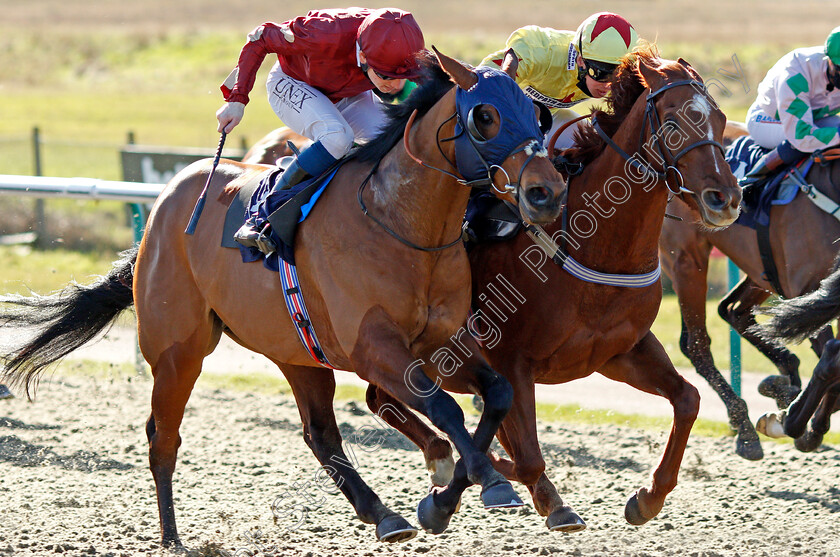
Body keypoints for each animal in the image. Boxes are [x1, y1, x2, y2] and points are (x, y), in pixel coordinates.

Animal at [1, 52, 564, 548]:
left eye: (534, 109)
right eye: (485, 116)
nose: (546, 192)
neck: (400, 223)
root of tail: (166, 201)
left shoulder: (442, 341)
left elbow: (497, 394)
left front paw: (448, 498)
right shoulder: (375, 348)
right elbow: (445, 407)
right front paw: (485, 485)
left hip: (298, 351)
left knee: (320, 435)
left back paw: (383, 515)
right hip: (178, 350)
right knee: (163, 436)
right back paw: (171, 535)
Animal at [366, 45, 740, 532]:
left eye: (720, 118)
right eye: (674, 124)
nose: (726, 199)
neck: (594, 248)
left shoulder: (619, 352)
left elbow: (688, 399)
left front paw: (648, 498)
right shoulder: (510, 361)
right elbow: (524, 455)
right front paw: (525, 495)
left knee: (380, 399)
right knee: (388, 401)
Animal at [656, 132, 840, 458]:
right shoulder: (808, 288)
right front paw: (802, 426)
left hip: (759, 271)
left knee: (734, 311)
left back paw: (783, 383)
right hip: (686, 260)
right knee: (696, 344)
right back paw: (745, 428)